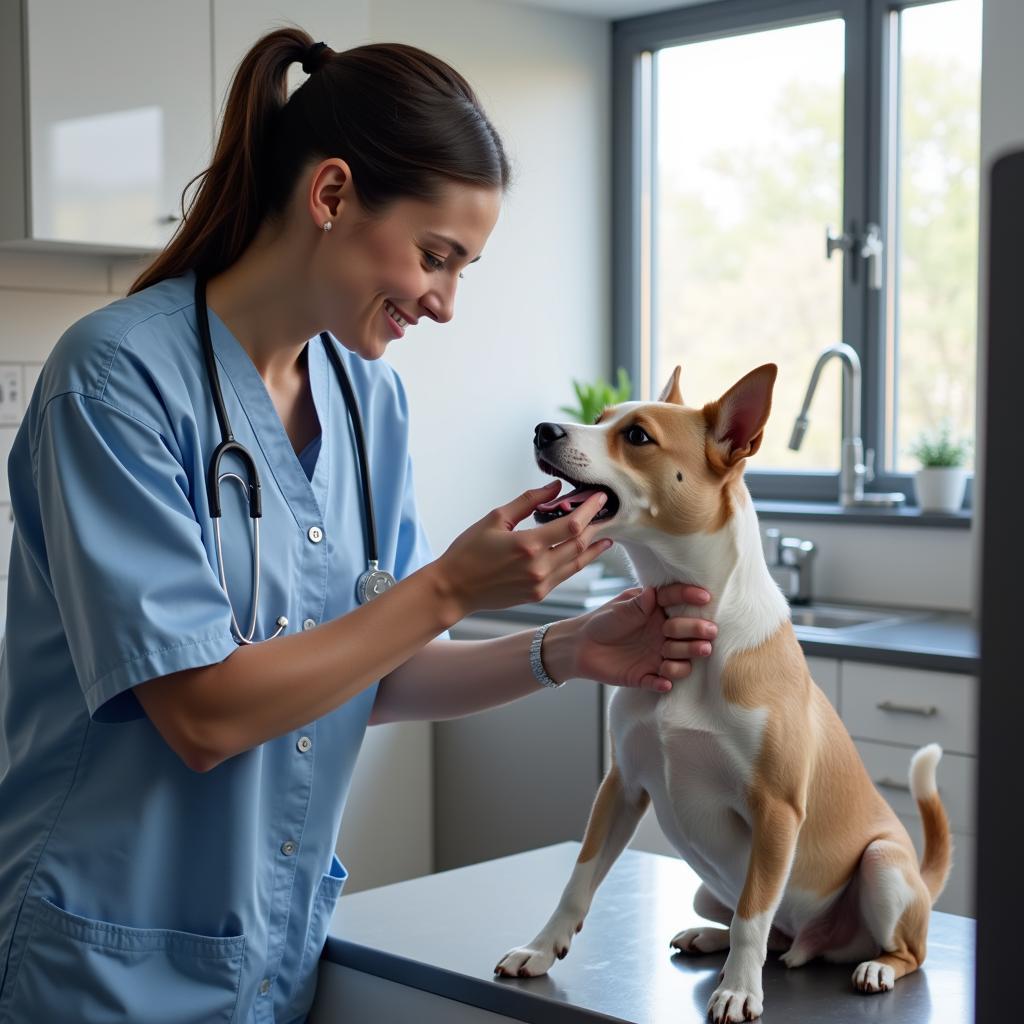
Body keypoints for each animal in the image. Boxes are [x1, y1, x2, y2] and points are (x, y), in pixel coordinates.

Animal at [495, 366, 950, 1024]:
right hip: (705, 890)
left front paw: (738, 990)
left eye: (637, 435)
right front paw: (539, 948)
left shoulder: (776, 810)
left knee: (898, 948)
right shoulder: (621, 785)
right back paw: (708, 937)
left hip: (885, 866)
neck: (691, 619)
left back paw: (875, 967)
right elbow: (578, 881)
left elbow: (754, 915)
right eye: (601, 417)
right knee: (768, 934)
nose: (543, 430)